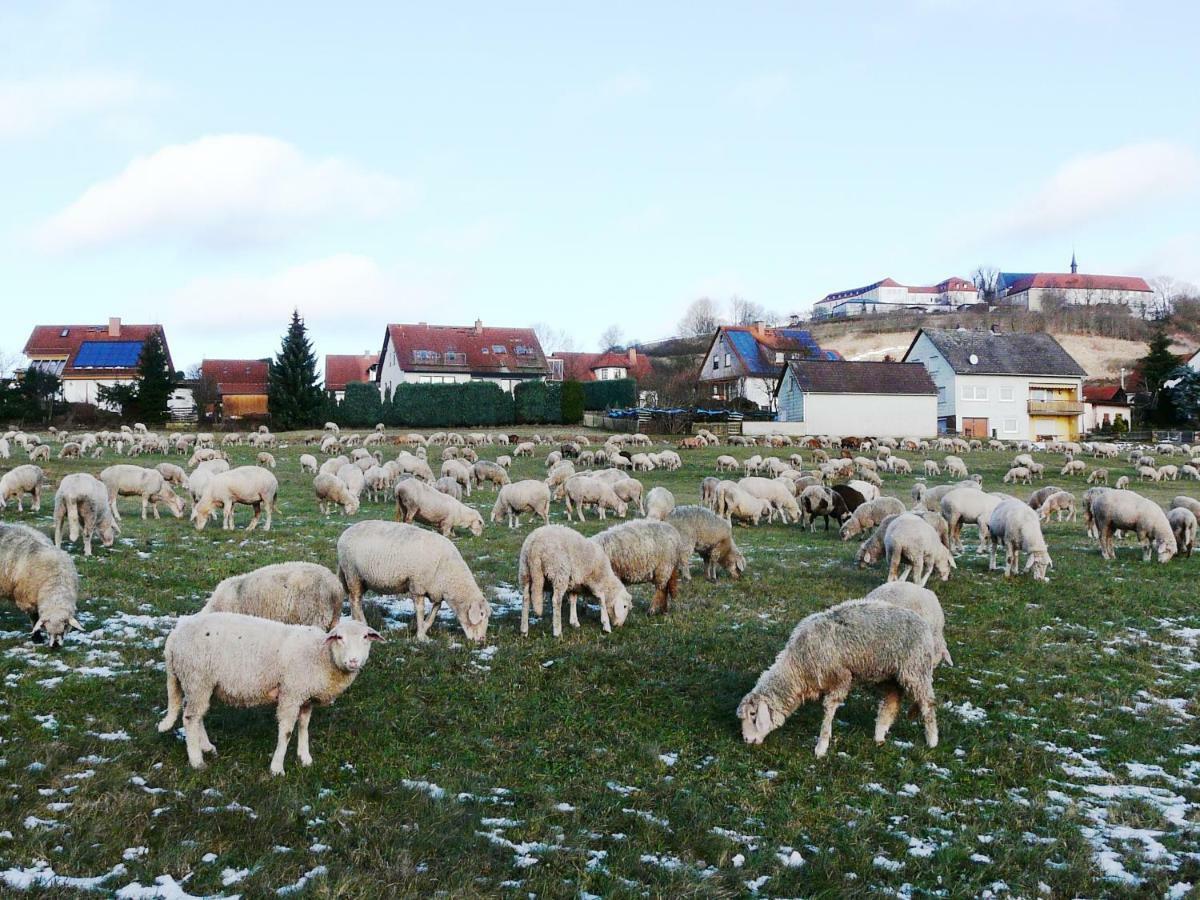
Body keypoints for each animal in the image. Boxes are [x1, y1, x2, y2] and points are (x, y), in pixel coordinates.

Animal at [0, 520, 82, 648]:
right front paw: (37, 638)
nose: (55, 646)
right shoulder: (26, 599)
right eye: (47, 631)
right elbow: (34, 619)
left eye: (64, 628)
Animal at [156, 614, 379, 777]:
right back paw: (196, 761)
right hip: (197, 677)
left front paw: (305, 757)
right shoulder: (291, 693)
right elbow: (287, 732)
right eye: (339, 638)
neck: (320, 655)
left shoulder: (305, 697)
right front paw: (277, 768)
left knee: (196, 714)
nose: (353, 661)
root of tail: (174, 636)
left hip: (200, 683)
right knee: (190, 718)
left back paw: (207, 747)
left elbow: (304, 726)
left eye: (365, 637)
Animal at [336, 520, 489, 643]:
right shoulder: (417, 586)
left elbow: (435, 610)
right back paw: (363, 623)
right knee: (355, 600)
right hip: (352, 573)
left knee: (354, 600)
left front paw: (425, 629)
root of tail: (344, 533)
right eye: (481, 615)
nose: (482, 640)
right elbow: (420, 610)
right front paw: (420, 635)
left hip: (362, 579)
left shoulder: (436, 590)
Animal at [734, 602, 940, 758]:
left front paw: (821, 746)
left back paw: (932, 741)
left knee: (927, 703)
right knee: (891, 701)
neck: (798, 665)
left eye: (753, 714)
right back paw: (879, 735)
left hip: (915, 669)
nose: (747, 740)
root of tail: (924, 624)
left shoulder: (840, 678)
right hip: (890, 675)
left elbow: (829, 710)